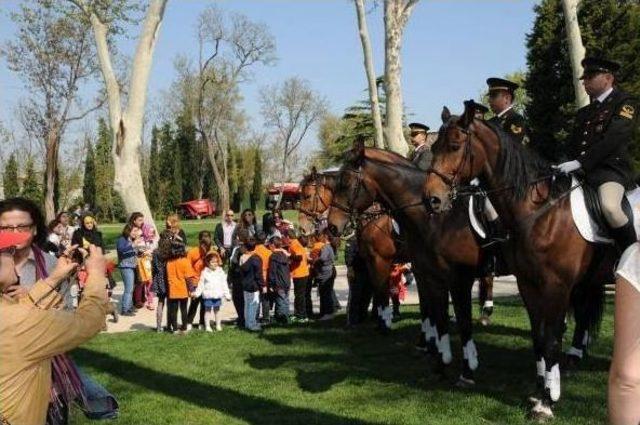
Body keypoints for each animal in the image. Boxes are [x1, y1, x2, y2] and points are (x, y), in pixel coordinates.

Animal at [424, 102, 608, 418]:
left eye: (455, 145)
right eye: (434, 146)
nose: (431, 199)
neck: (539, 212)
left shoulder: (556, 287)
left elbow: (551, 339)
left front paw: (548, 402)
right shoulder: (528, 284)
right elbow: (538, 337)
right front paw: (540, 390)